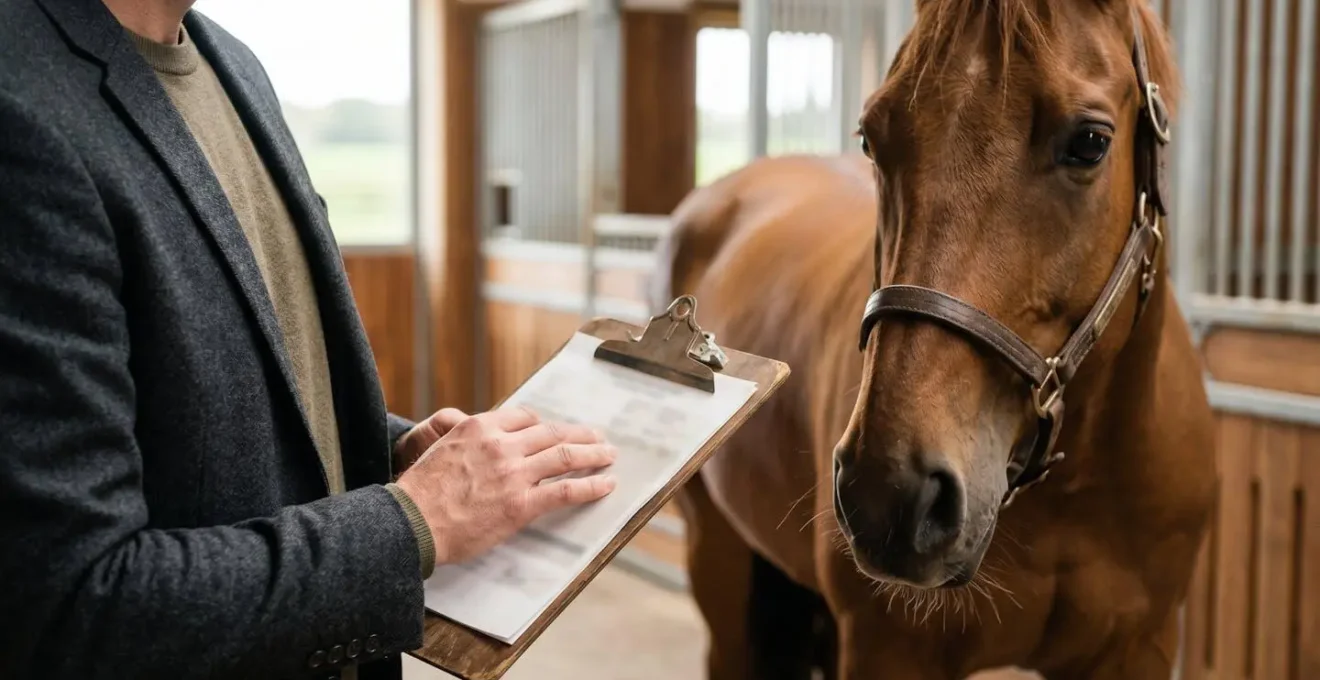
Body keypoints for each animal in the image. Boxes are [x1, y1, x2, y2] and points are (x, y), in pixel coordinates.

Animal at [653, 1, 1218, 678]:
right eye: (871, 138)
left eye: (1089, 142)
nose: (889, 492)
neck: (1073, 487)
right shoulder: (886, 650)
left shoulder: (1140, 648)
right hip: (720, 564)